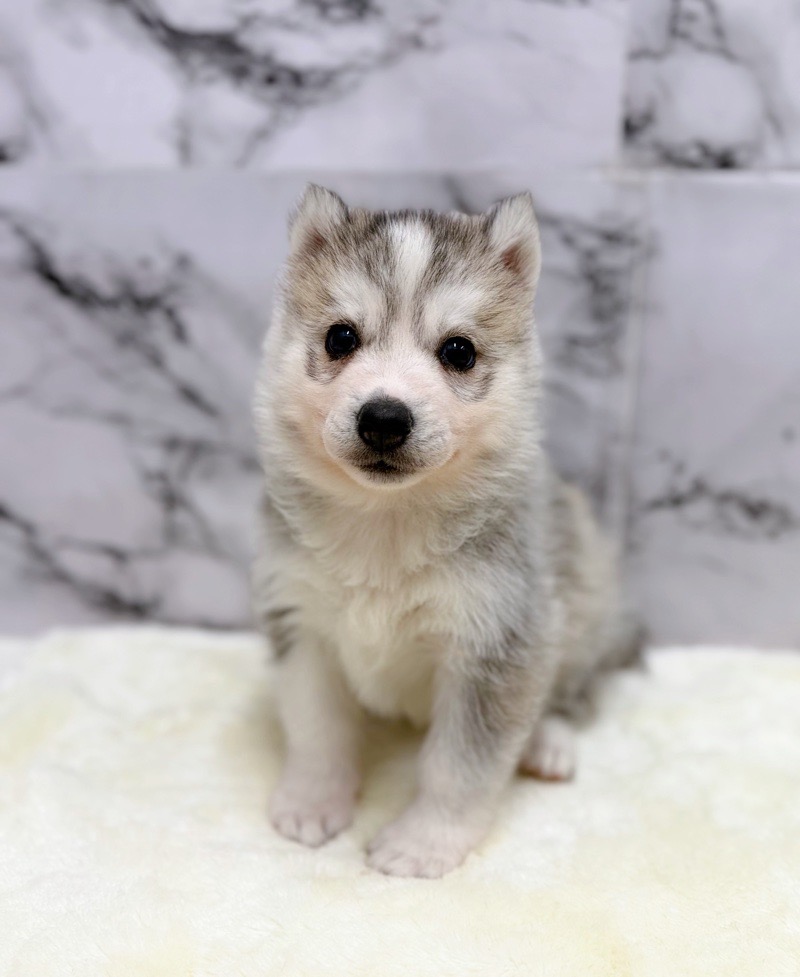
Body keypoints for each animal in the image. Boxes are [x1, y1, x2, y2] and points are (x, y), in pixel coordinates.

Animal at [252, 185, 642, 878]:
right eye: (340, 337)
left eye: (458, 352)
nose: (384, 418)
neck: (387, 521)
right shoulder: (301, 622)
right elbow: (318, 729)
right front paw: (312, 801)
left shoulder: (496, 642)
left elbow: (458, 768)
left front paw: (423, 842)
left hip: (583, 604)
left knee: (573, 688)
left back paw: (548, 742)